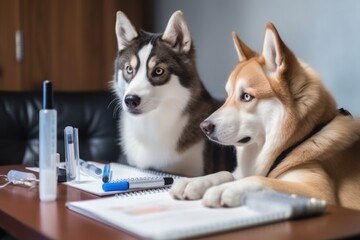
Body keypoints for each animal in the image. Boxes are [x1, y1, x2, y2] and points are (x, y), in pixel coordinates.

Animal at [170, 23, 360, 210]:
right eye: (228, 95)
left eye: (247, 96)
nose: (204, 127)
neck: (299, 139)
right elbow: (226, 173)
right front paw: (195, 182)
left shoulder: (319, 191)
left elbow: (261, 180)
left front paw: (225, 190)